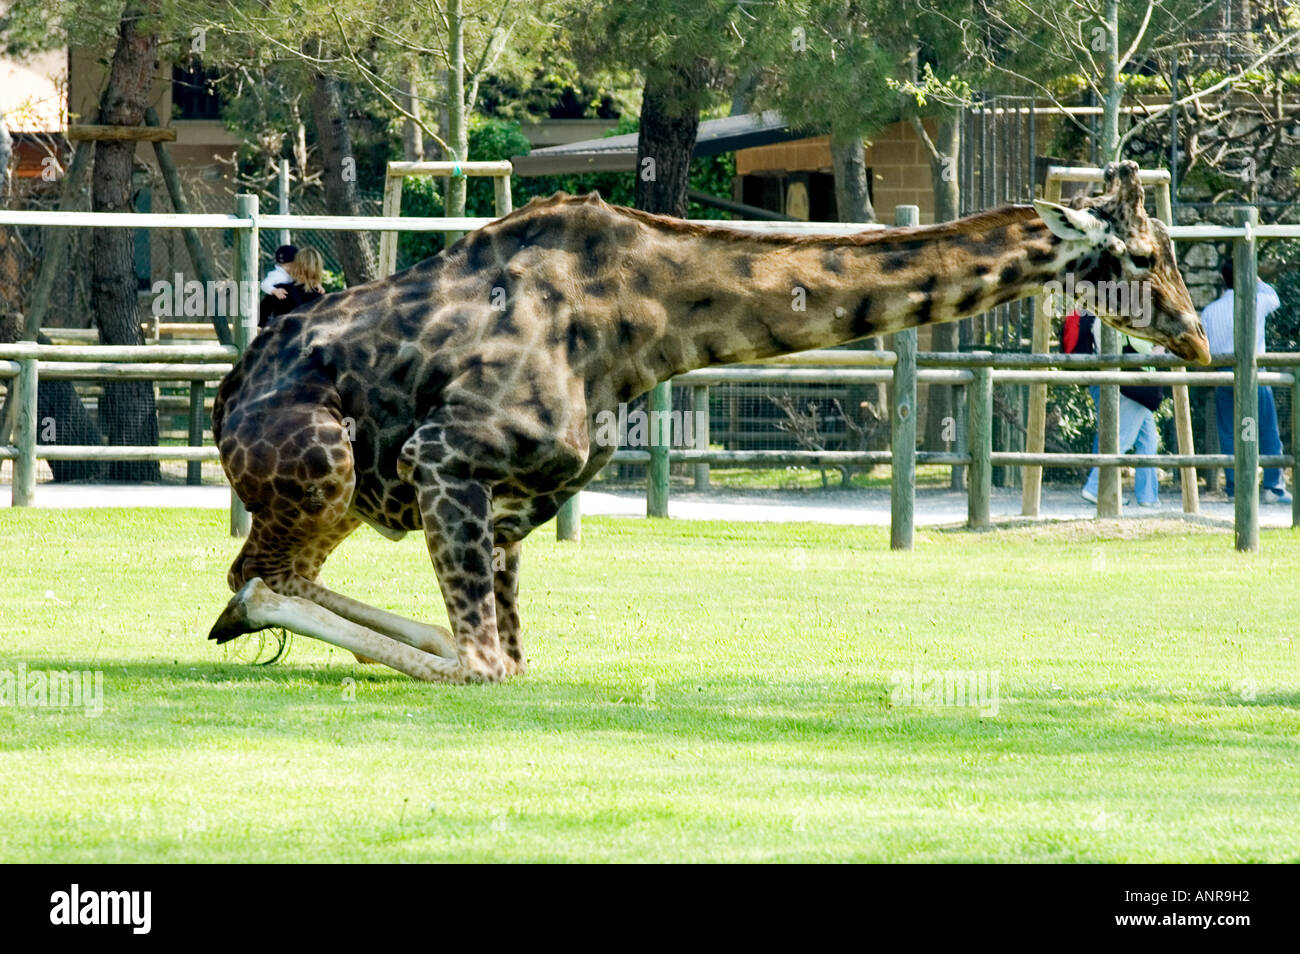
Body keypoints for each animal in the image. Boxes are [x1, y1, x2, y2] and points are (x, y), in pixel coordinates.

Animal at [207, 160, 1210, 684]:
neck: (638, 324)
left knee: (263, 577)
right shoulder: (447, 456)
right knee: (257, 579)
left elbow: (510, 658)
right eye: (1140, 254)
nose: (1196, 336)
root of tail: (226, 396)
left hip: (343, 496)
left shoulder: (513, 502)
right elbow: (483, 662)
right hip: (329, 464)